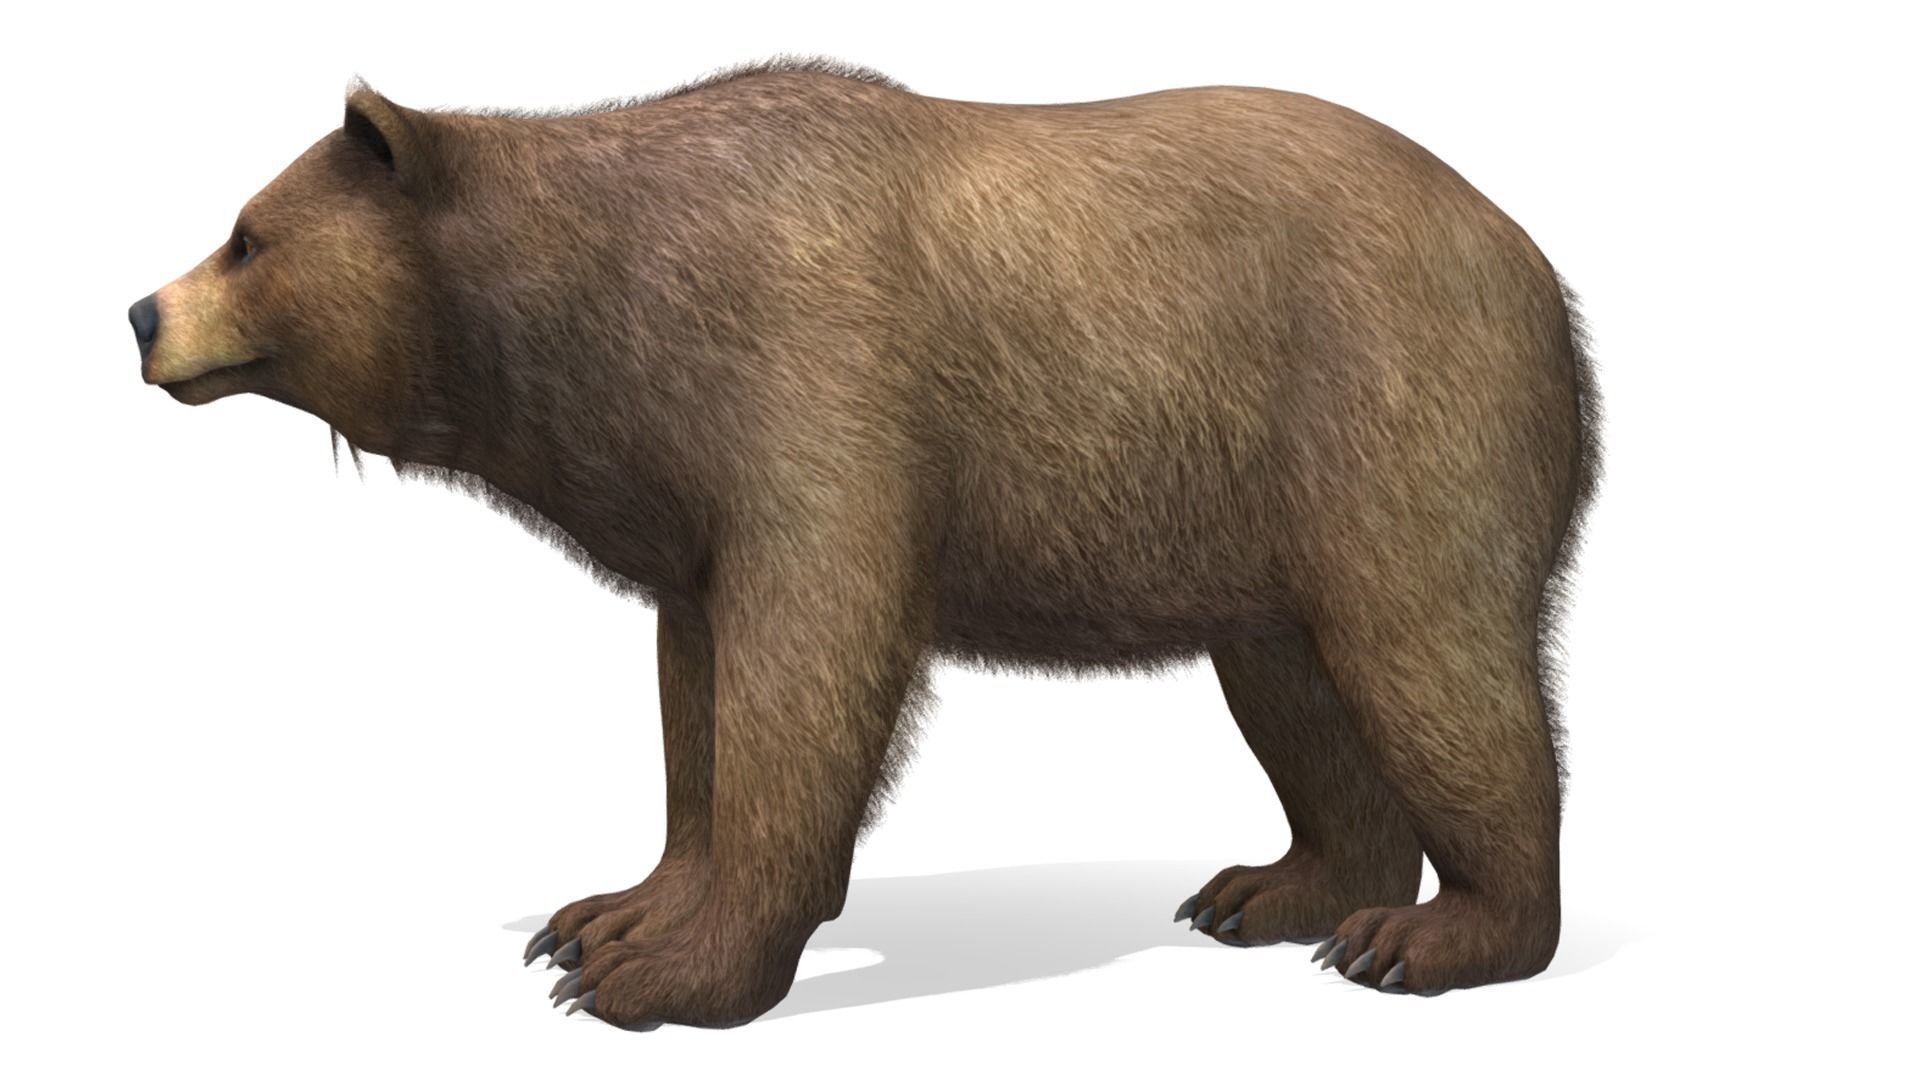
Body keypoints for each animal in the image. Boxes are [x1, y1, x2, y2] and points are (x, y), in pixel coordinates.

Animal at [130, 57, 1601, 1028]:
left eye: (246, 235)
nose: (143, 313)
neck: (606, 321)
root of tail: (1538, 265)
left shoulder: (813, 392)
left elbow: (809, 669)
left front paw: (662, 974)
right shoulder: (691, 493)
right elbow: (697, 691)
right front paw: (607, 913)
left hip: (1387, 415)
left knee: (1433, 658)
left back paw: (1432, 935)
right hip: (1256, 516)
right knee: (1299, 688)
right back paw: (1274, 891)